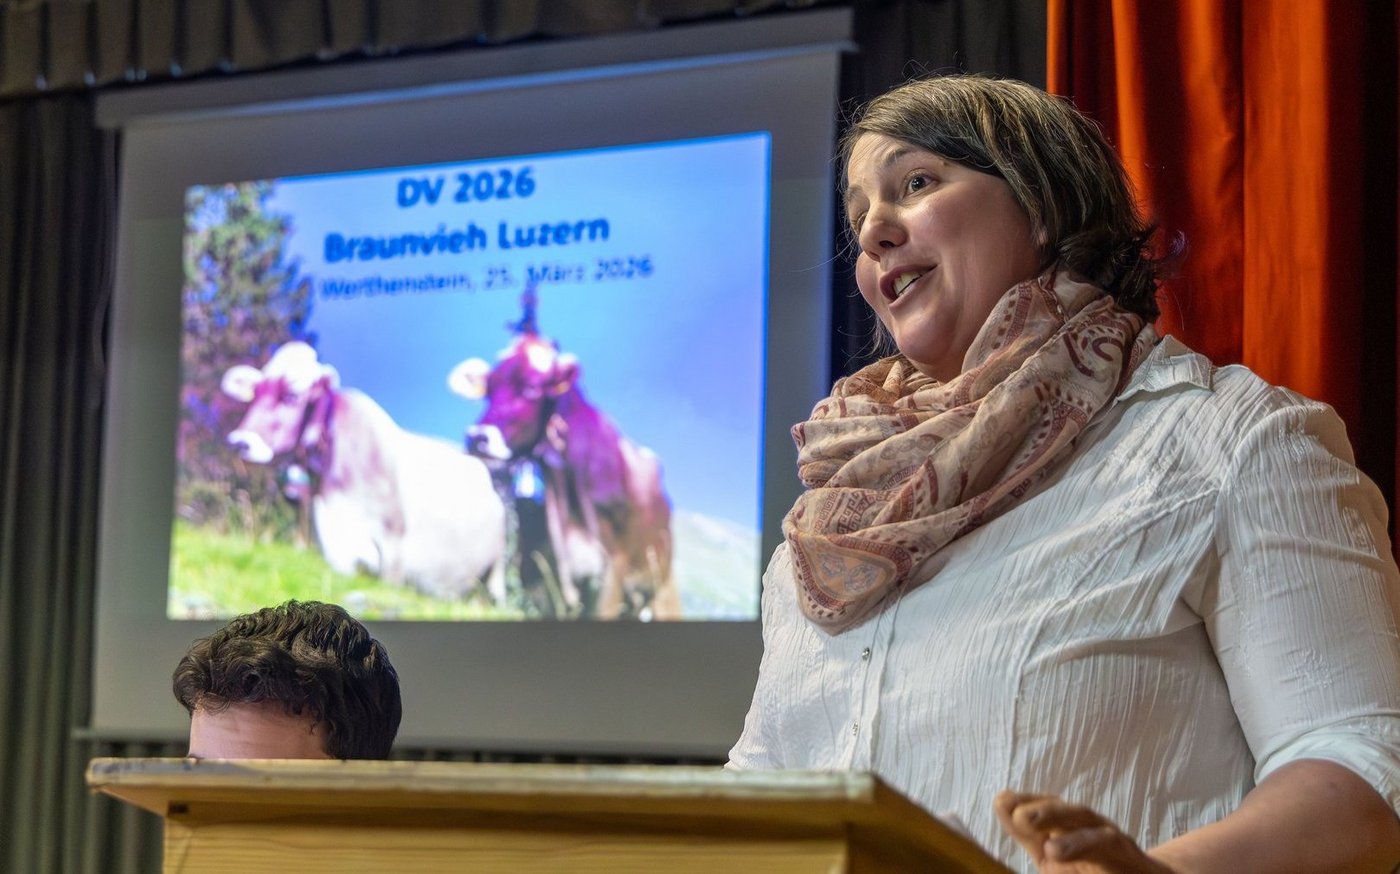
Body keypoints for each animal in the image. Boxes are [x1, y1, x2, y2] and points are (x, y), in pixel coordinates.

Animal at [221, 341, 507, 604]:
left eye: (291, 395)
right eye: (256, 392)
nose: (240, 442)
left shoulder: (394, 548)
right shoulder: (335, 547)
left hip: (495, 574)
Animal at [449, 332, 680, 620]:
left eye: (533, 387)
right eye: (489, 388)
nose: (477, 437)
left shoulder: (614, 563)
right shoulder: (537, 563)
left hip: (657, 584)